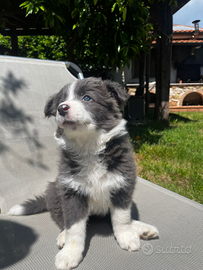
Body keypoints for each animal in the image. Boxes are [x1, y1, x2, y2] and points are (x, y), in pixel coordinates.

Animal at [8, 77, 159, 268]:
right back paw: (62, 236)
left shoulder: (122, 184)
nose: (62, 108)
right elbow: (74, 227)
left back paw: (141, 228)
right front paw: (69, 254)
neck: (88, 146)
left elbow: (121, 217)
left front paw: (126, 236)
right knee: (62, 221)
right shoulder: (71, 193)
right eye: (61, 101)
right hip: (55, 193)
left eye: (87, 98)